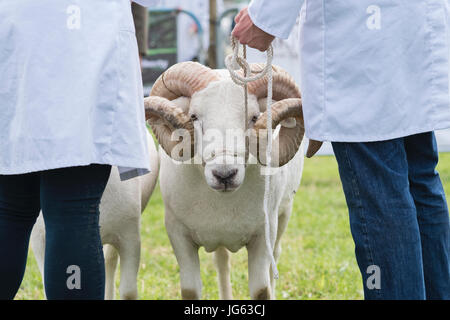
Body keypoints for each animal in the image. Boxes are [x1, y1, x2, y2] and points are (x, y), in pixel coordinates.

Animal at [144, 61, 320, 298]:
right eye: (194, 116)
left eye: (254, 117)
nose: (225, 174)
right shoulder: (178, 234)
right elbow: (190, 290)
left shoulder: (263, 236)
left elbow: (262, 290)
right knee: (221, 262)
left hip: (283, 215)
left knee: (275, 256)